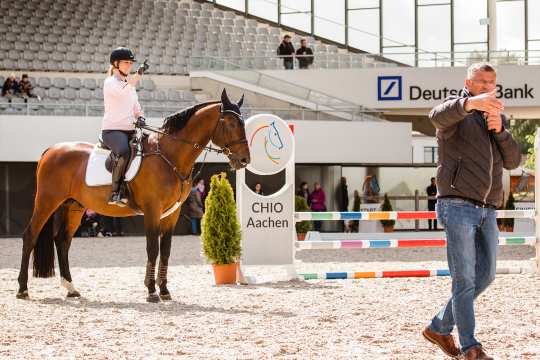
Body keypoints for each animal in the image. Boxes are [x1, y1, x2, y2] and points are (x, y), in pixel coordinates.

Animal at [17, 89, 250, 300]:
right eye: (231, 123)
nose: (244, 160)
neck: (169, 156)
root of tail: (51, 150)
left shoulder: (171, 214)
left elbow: (166, 250)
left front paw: (164, 290)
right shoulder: (152, 210)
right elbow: (152, 248)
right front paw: (151, 291)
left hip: (74, 206)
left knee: (63, 241)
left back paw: (71, 288)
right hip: (47, 202)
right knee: (30, 236)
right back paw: (23, 289)